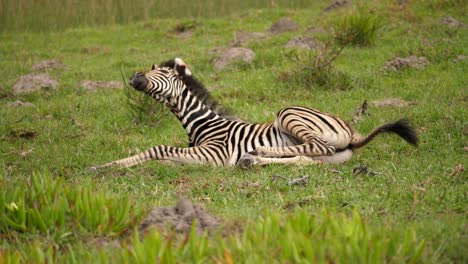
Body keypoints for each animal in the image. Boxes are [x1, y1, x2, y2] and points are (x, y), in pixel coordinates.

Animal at [89, 57, 418, 171]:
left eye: (164, 73)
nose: (135, 77)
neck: (201, 123)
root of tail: (351, 130)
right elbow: (165, 156)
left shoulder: (215, 153)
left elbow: (157, 149)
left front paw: (105, 166)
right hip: (332, 155)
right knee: (306, 157)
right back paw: (252, 159)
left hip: (289, 113)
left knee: (315, 146)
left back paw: (259, 150)